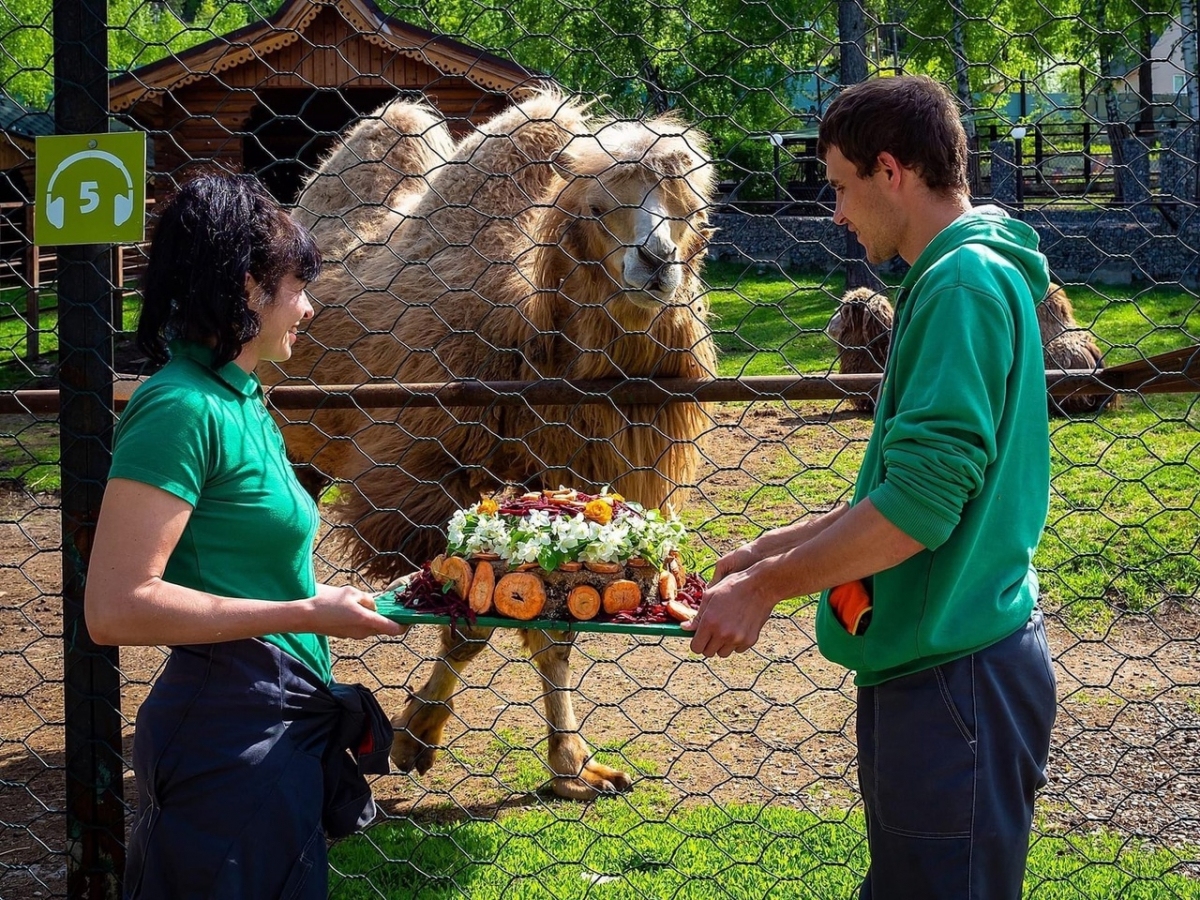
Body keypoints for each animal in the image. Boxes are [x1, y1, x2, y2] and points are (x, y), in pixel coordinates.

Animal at [264, 90, 715, 801]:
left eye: (688, 208)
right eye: (598, 207)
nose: (656, 263)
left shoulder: (563, 482)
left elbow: (552, 629)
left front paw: (574, 768)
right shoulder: (423, 478)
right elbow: (471, 616)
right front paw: (415, 737)